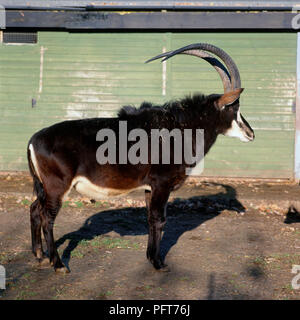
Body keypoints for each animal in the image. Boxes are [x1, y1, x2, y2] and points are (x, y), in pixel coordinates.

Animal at [27, 43, 253, 272]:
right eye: (234, 108)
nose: (250, 133)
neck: (180, 127)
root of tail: (33, 139)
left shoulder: (149, 188)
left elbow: (151, 219)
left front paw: (150, 258)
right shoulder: (162, 184)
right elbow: (160, 220)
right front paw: (159, 263)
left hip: (45, 188)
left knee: (35, 209)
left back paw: (39, 254)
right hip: (57, 187)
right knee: (47, 217)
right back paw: (58, 264)